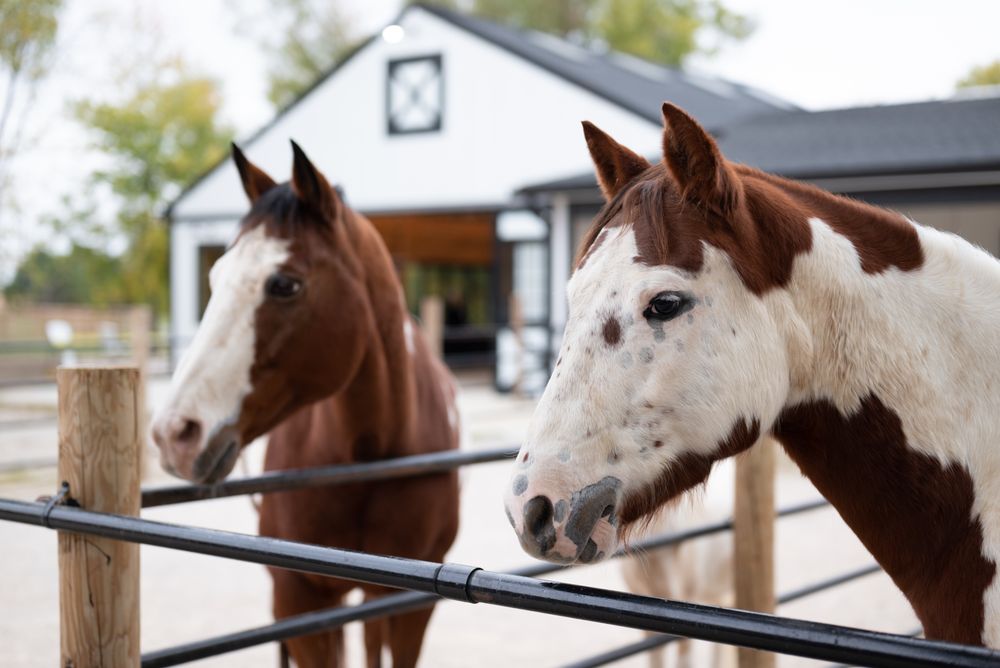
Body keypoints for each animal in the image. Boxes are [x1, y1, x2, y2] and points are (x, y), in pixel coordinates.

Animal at [151, 142, 461, 667]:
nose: (174, 434)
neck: (367, 456)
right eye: (215, 275)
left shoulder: (412, 607)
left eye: (284, 285)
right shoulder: (298, 599)